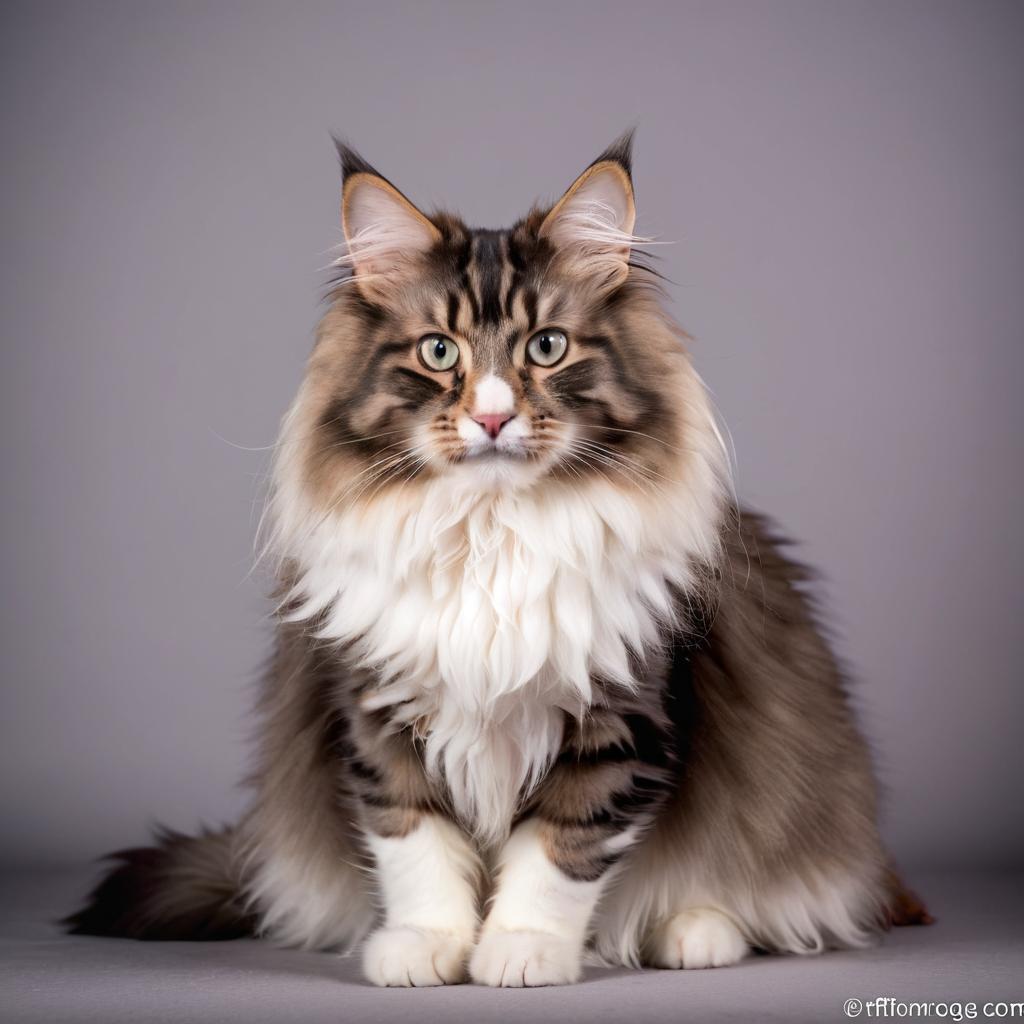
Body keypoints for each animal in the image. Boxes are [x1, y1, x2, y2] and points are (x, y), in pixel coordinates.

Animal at [61, 134, 929, 983]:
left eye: (545, 347)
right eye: (440, 352)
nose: (490, 415)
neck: (490, 532)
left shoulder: (617, 718)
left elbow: (558, 851)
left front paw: (521, 951)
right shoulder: (383, 719)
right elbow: (415, 847)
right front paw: (426, 947)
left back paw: (692, 933)